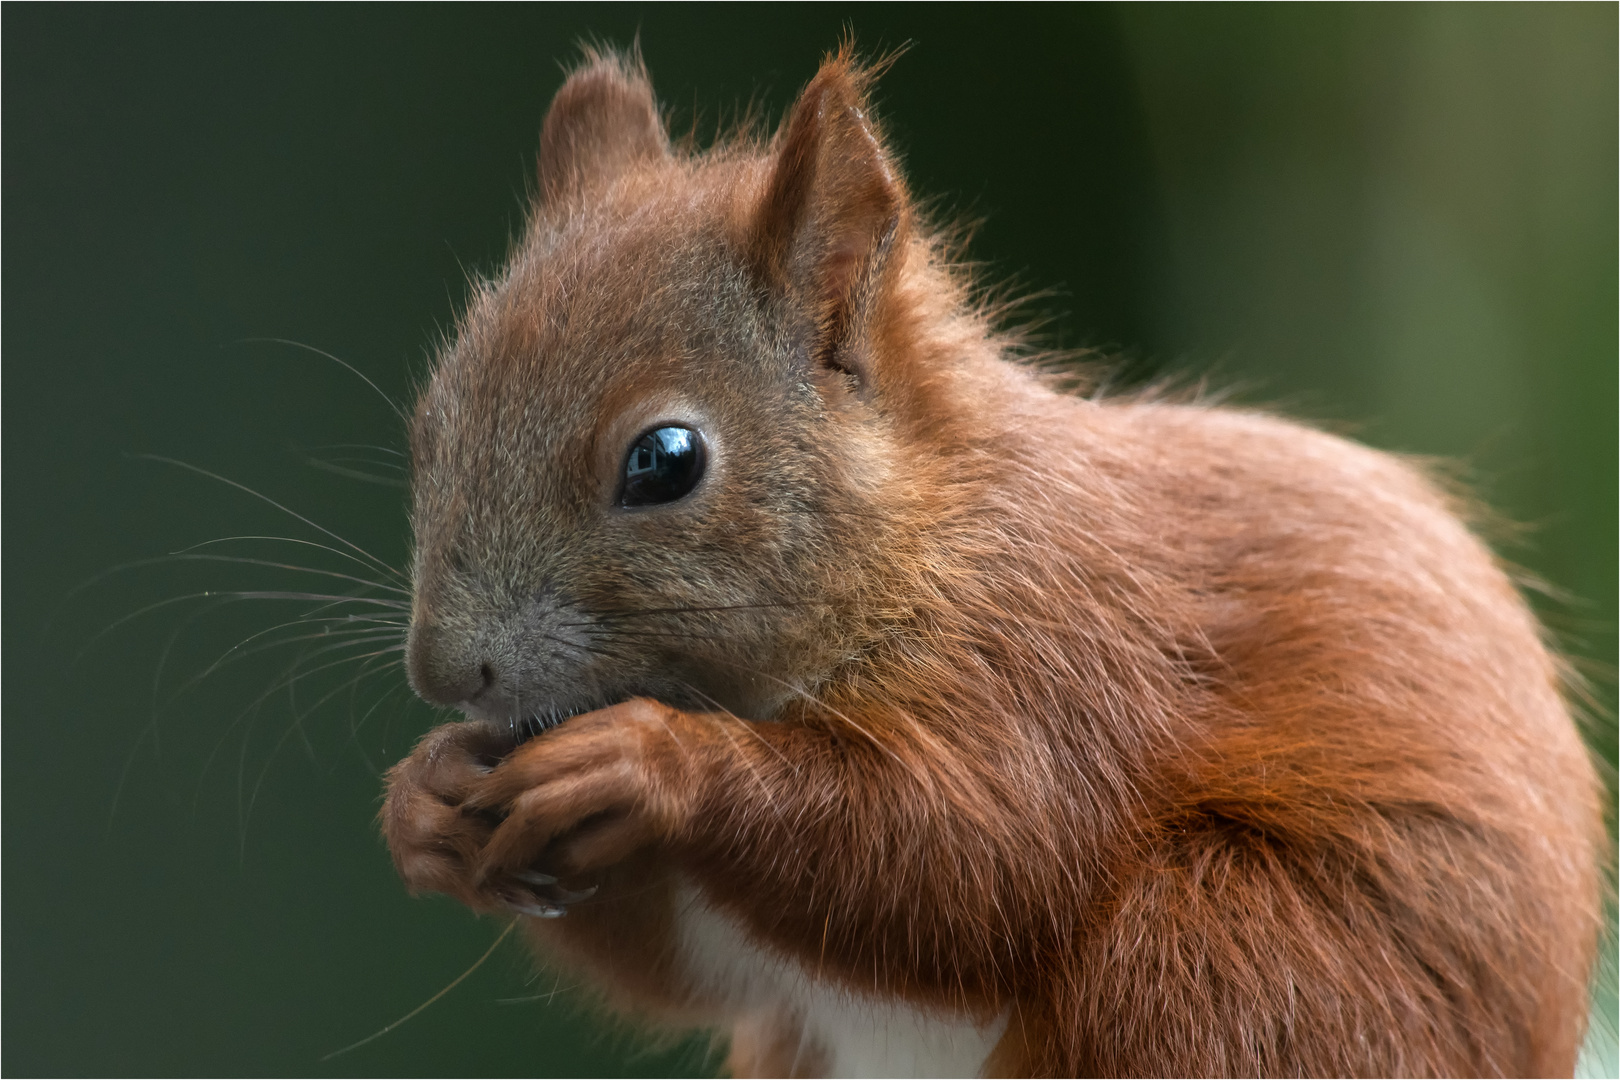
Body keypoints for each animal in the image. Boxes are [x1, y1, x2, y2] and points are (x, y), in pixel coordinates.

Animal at [379, 46, 1607, 1075]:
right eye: (430, 423)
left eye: (664, 461)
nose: (444, 674)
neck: (929, 537)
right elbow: (692, 971)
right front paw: (422, 802)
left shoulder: (1062, 653)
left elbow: (989, 857)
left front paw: (650, 760)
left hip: (1231, 960)